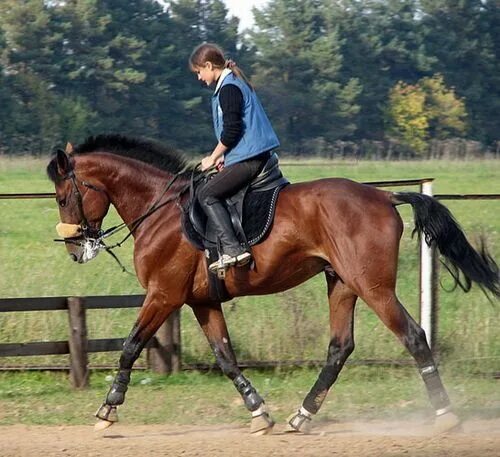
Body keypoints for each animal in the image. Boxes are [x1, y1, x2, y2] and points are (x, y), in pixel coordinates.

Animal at [47, 134, 500, 434]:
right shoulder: (200, 302)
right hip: (342, 283)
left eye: (63, 197)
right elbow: (226, 357)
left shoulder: (163, 295)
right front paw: (258, 411)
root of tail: (385, 197)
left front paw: (108, 409)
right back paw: (302, 415)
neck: (160, 211)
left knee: (412, 335)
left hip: (372, 286)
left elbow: (130, 346)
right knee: (340, 347)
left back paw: (444, 414)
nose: (75, 250)